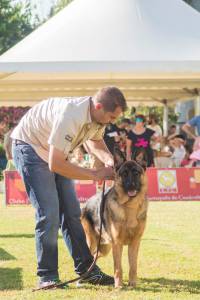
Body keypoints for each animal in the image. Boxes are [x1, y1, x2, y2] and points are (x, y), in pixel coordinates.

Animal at [81, 148, 148, 288]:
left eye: (136, 173)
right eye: (124, 174)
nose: (131, 185)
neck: (129, 206)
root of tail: (86, 204)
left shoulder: (135, 243)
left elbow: (133, 266)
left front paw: (132, 283)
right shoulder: (117, 244)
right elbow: (118, 268)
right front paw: (118, 285)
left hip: (104, 248)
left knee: (94, 257)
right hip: (92, 243)